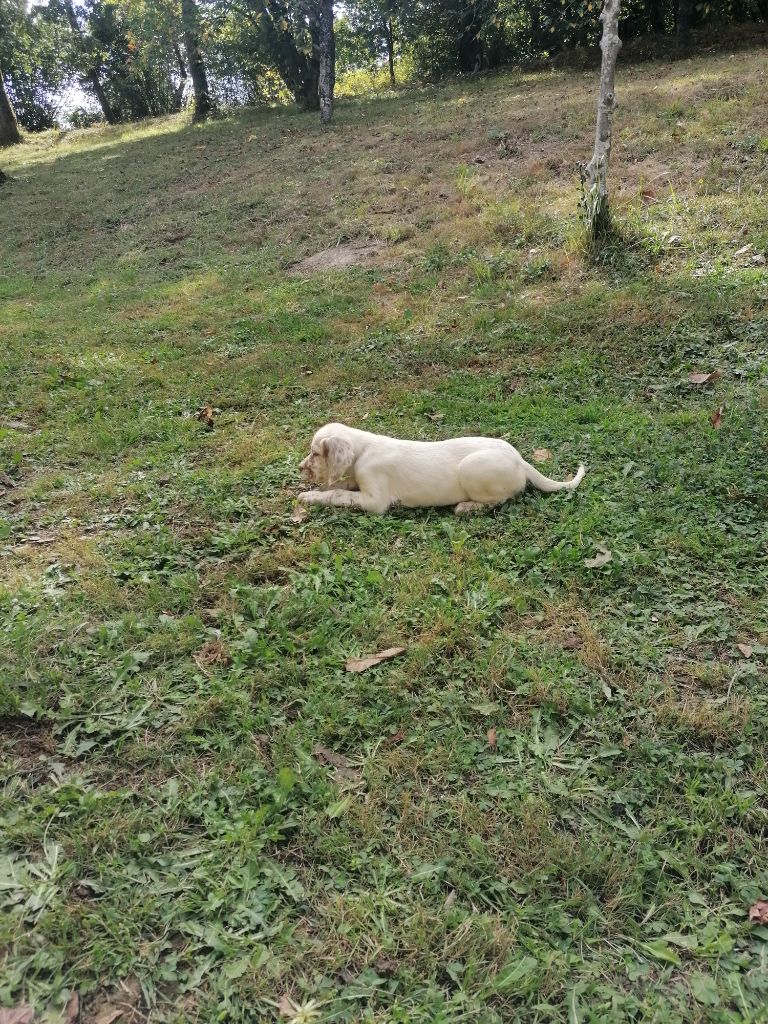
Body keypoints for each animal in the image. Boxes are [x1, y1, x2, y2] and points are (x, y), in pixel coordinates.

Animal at [296, 421, 585, 516]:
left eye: (315, 453)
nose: (300, 468)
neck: (363, 450)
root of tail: (520, 460)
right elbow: (342, 486)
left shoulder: (375, 501)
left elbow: (339, 494)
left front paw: (309, 495)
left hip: (471, 468)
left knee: (501, 499)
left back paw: (467, 507)